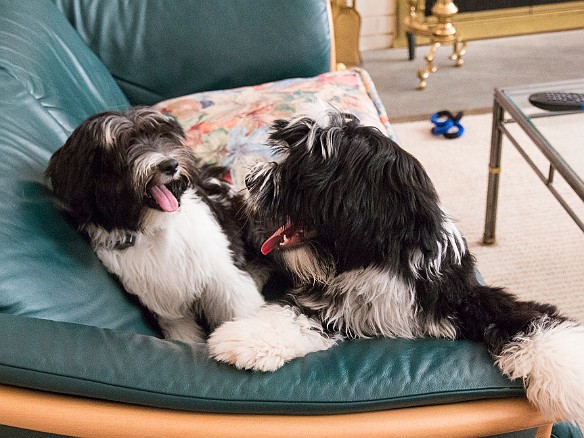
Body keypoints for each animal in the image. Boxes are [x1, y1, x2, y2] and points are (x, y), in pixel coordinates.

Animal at [45, 107, 264, 342]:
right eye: (124, 146)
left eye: (162, 136)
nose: (171, 165)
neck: (153, 229)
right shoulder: (165, 305)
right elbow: (183, 334)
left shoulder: (223, 274)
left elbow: (241, 308)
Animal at [209, 108, 584, 422]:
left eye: (300, 167)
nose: (251, 180)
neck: (381, 258)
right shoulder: (328, 299)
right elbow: (291, 312)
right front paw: (244, 339)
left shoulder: (460, 293)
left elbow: (528, 318)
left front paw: (569, 373)